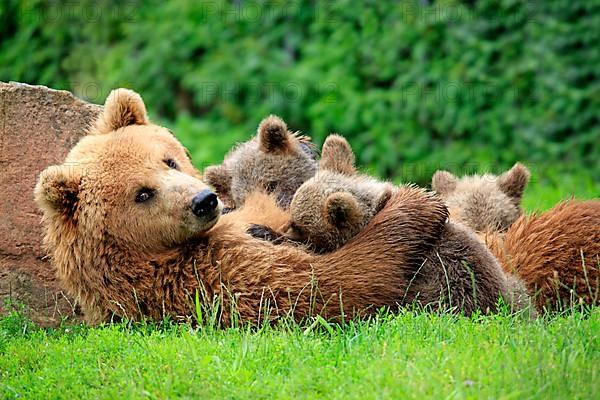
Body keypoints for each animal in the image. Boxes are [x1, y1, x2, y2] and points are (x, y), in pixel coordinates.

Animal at [35, 88, 474, 324]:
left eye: (168, 160)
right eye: (142, 193)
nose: (203, 201)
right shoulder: (216, 274)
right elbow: (340, 279)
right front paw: (416, 201)